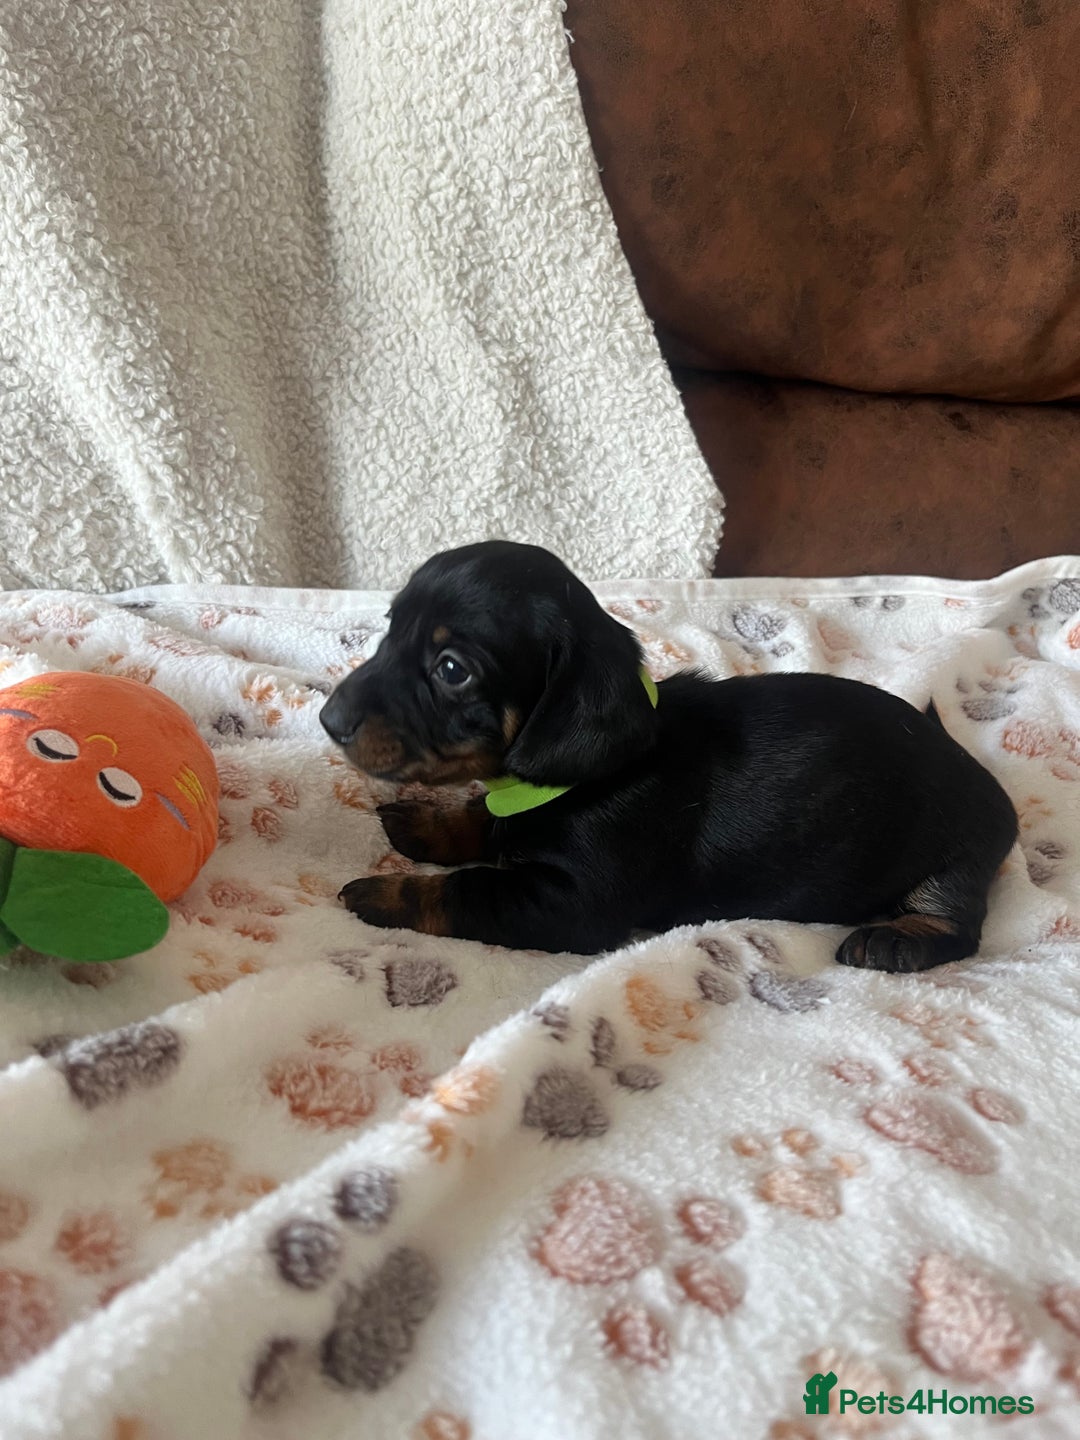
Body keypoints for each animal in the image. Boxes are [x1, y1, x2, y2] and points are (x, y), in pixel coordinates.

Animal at [319, 541, 1018, 969]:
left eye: (452, 669)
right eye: (389, 629)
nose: (328, 720)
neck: (580, 776)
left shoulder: (571, 905)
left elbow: (464, 888)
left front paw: (384, 893)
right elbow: (480, 818)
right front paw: (425, 821)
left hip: (953, 850)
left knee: (958, 920)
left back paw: (894, 940)